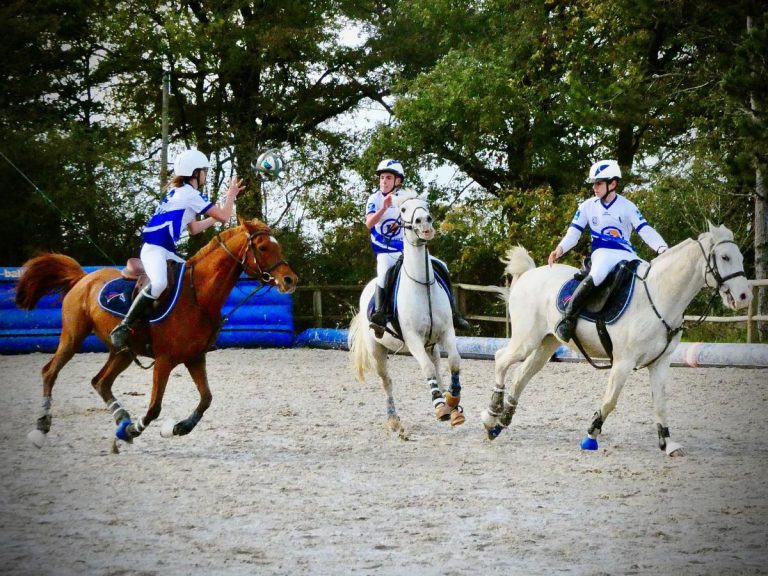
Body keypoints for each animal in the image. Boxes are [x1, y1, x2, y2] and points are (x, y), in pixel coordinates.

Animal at [15, 218, 298, 451]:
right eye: (262, 247)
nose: (290, 280)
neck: (198, 295)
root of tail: (83, 277)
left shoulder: (195, 357)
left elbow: (206, 398)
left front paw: (177, 428)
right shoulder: (164, 361)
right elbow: (154, 408)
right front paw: (136, 429)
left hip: (123, 351)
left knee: (100, 382)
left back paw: (121, 419)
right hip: (73, 336)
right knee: (50, 372)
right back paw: (43, 427)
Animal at [348, 190, 465, 438]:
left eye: (425, 205)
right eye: (403, 210)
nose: (425, 223)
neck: (422, 283)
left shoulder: (446, 332)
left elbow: (454, 362)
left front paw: (452, 401)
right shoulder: (413, 339)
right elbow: (427, 369)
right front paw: (440, 407)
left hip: (432, 345)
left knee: (438, 367)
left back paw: (450, 407)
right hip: (378, 352)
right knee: (387, 382)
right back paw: (394, 420)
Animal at [481, 223, 752, 456]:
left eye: (740, 257)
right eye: (725, 257)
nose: (744, 297)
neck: (659, 296)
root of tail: (529, 274)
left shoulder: (660, 363)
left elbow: (660, 403)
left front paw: (668, 443)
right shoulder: (623, 362)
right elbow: (610, 400)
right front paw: (591, 436)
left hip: (547, 344)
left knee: (521, 376)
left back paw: (500, 423)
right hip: (526, 340)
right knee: (501, 359)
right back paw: (491, 414)